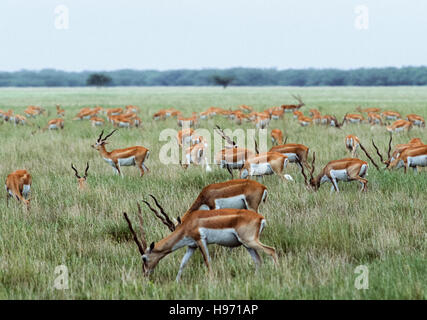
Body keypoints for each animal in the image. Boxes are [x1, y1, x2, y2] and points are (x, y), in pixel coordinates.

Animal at [122, 199, 280, 282]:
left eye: (144, 258)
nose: (145, 274)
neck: (188, 224)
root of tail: (260, 218)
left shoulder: (200, 240)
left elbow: (207, 261)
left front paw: (211, 281)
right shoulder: (191, 246)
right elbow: (183, 263)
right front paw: (176, 282)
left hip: (250, 242)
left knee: (271, 250)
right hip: (247, 245)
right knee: (258, 260)